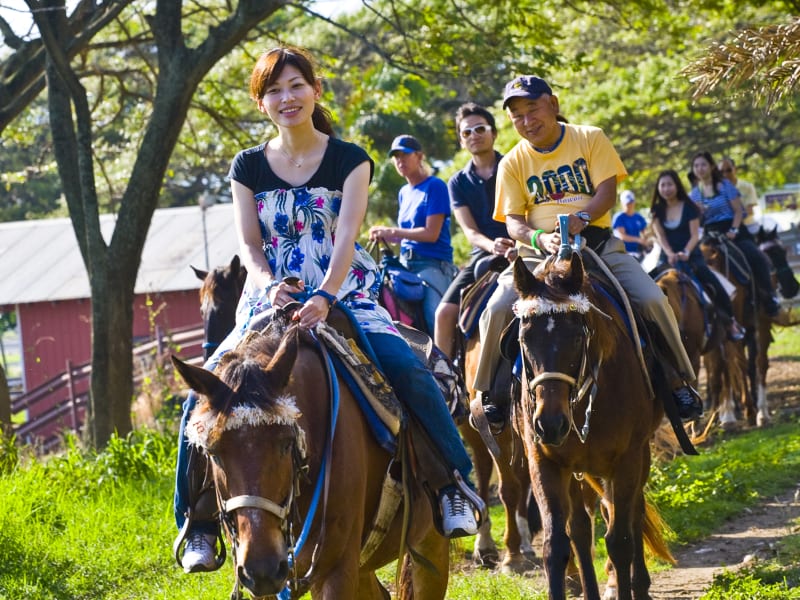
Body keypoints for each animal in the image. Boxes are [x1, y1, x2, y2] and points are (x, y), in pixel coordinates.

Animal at [510, 253, 672, 600]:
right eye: (525, 339)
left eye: (575, 336)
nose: (550, 424)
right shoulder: (545, 461)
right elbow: (557, 544)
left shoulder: (627, 459)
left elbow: (620, 540)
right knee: (581, 530)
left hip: (636, 458)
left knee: (633, 514)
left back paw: (640, 586)